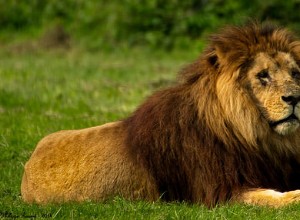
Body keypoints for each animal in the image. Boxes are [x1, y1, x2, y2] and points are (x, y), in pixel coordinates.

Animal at [20, 22, 300, 208]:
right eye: (262, 75)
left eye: (295, 73)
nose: (295, 98)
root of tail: (28, 164)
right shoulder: (218, 191)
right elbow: (268, 198)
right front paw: (294, 197)